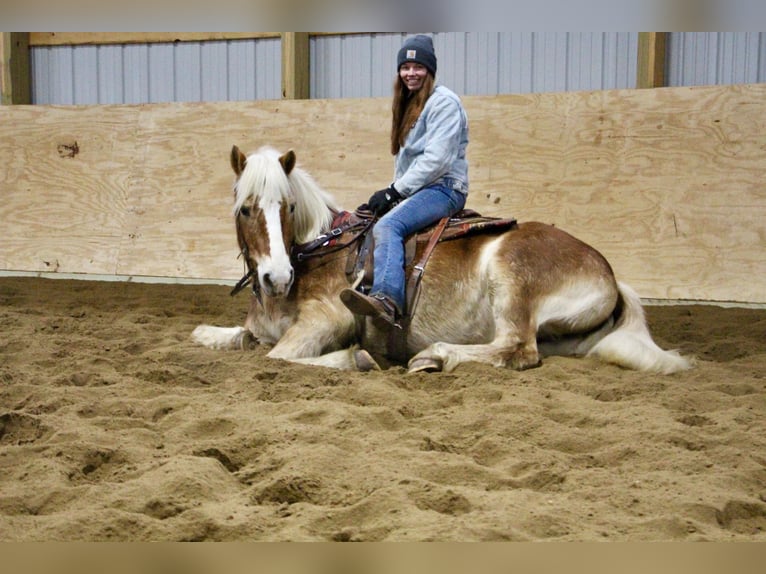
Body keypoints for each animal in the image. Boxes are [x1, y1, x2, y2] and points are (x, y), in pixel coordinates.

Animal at [192, 146, 696, 376]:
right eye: (245, 209)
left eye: (288, 206)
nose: (277, 276)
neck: (318, 254)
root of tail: (608, 272)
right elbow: (229, 337)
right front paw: (211, 334)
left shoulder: (327, 319)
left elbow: (279, 356)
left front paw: (356, 358)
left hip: (511, 282)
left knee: (518, 348)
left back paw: (434, 355)